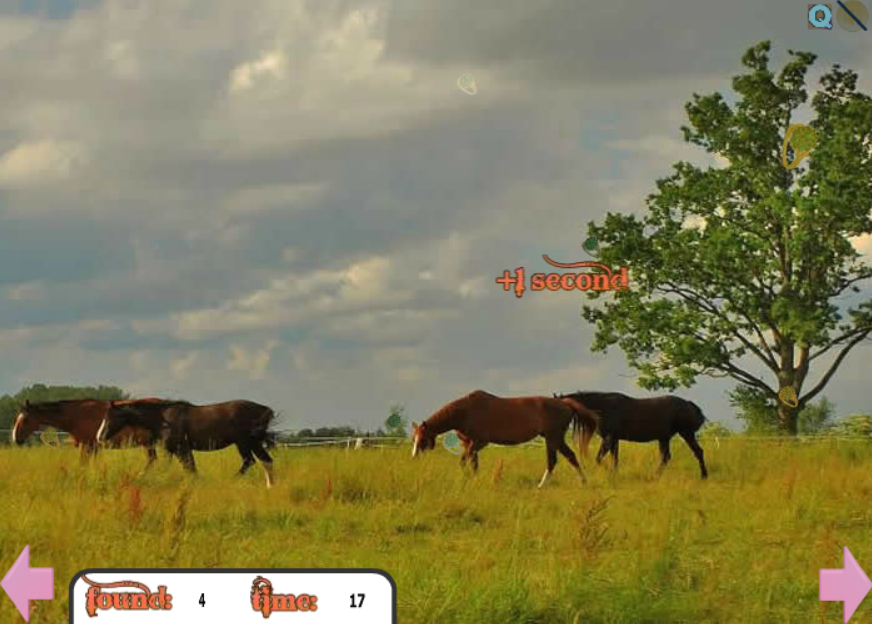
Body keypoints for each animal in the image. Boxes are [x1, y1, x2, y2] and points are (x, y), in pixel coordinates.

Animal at [11, 398, 163, 466]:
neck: (77, 415)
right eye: (17, 417)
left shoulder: (88, 446)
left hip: (148, 444)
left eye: (25, 420)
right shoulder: (90, 447)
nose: (15, 438)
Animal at [98, 399, 277, 488]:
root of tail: (265, 410)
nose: (99, 437)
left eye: (109, 416)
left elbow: (184, 468)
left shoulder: (178, 448)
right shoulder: (178, 450)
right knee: (265, 460)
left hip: (244, 442)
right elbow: (190, 469)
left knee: (251, 461)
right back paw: (270, 486)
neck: (164, 419)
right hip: (251, 443)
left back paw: (232, 481)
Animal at [410, 390, 599, 489]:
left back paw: (541, 485)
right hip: (556, 438)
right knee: (571, 456)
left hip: (553, 438)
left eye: (422, 440)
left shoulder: (478, 443)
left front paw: (471, 479)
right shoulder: (468, 444)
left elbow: (467, 461)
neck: (464, 412)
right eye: (414, 439)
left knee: (553, 461)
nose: (414, 457)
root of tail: (565, 403)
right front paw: (471, 478)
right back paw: (583, 481)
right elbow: (470, 462)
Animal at [554, 391, 708, 479]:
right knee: (666, 457)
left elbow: (599, 459)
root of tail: (688, 404)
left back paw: (703, 476)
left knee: (697, 452)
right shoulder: (614, 440)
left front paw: (609, 473)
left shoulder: (609, 439)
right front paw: (614, 475)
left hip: (686, 433)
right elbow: (615, 460)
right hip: (664, 439)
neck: (603, 407)